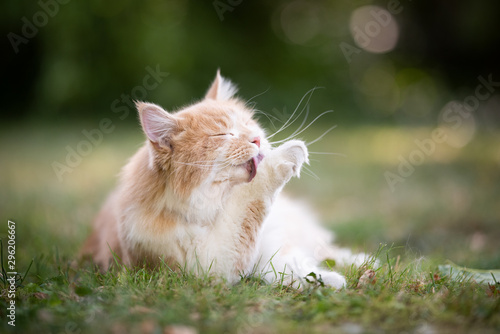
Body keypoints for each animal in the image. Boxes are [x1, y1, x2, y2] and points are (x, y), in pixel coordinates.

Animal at [81, 71, 368, 290]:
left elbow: (294, 262)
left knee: (328, 250)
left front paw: (330, 279)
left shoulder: (268, 244)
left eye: (248, 124)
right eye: (224, 135)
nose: (257, 139)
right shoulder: (213, 265)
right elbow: (254, 198)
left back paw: (365, 263)